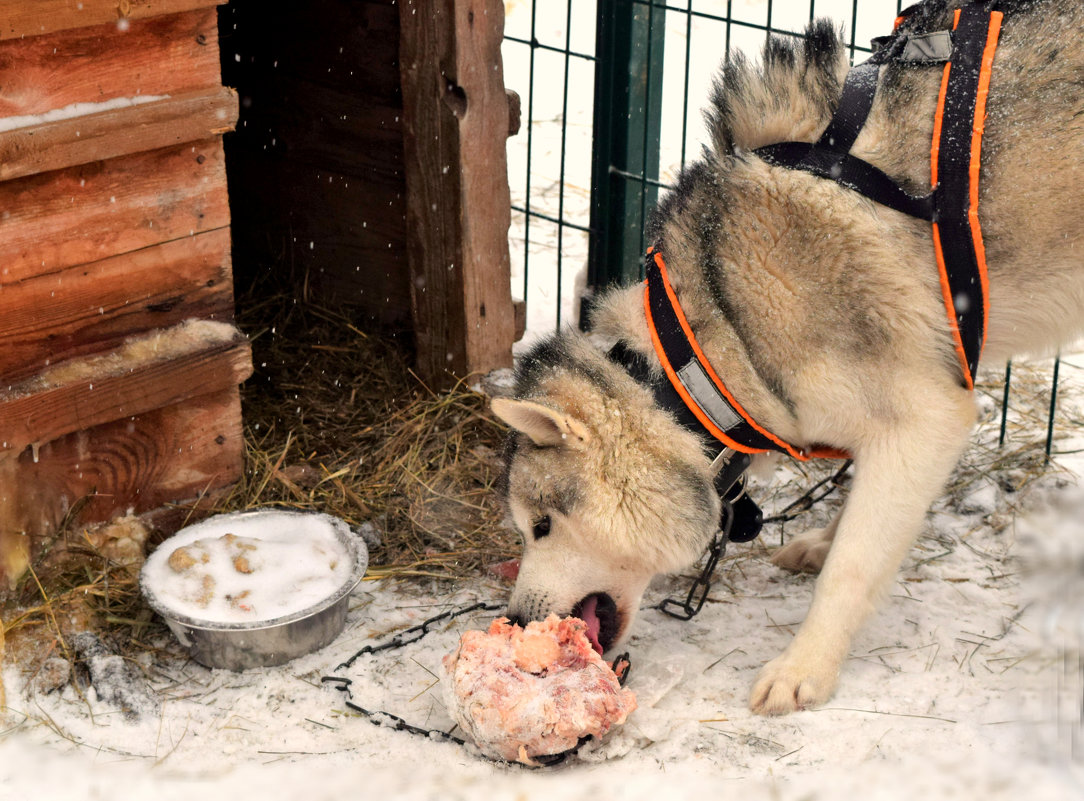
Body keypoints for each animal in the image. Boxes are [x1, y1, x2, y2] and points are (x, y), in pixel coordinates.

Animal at [489, 0, 1084, 715]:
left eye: (541, 526)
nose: (516, 621)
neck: (708, 351)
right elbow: (861, 516)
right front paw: (826, 542)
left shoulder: (928, 418)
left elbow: (853, 566)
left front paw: (806, 668)